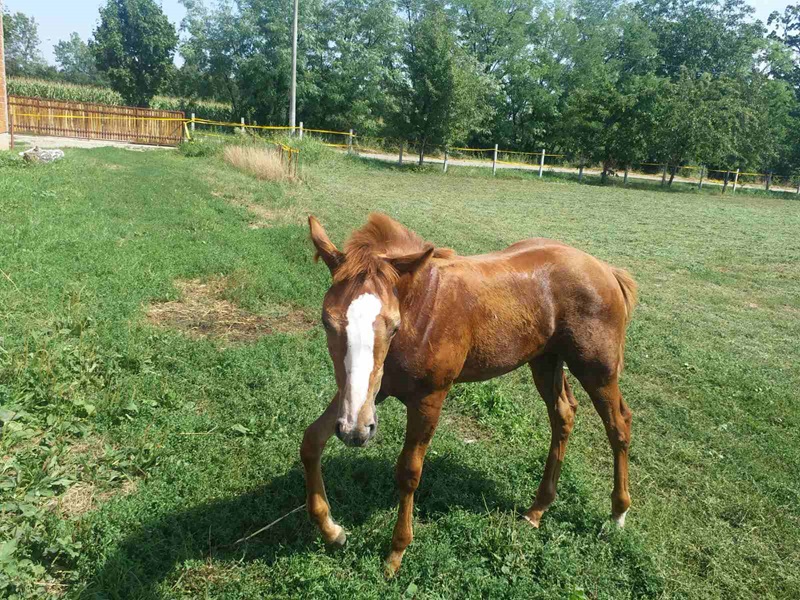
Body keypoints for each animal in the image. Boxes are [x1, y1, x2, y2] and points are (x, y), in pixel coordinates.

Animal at [300, 213, 636, 576]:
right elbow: (311, 441)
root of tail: (606, 270)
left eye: (392, 326)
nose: (356, 432)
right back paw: (537, 509)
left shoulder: (429, 398)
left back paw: (618, 514)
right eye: (327, 321)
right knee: (564, 413)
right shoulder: (370, 393)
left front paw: (396, 553)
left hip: (596, 370)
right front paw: (333, 531)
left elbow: (409, 472)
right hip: (546, 361)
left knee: (618, 424)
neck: (421, 307)